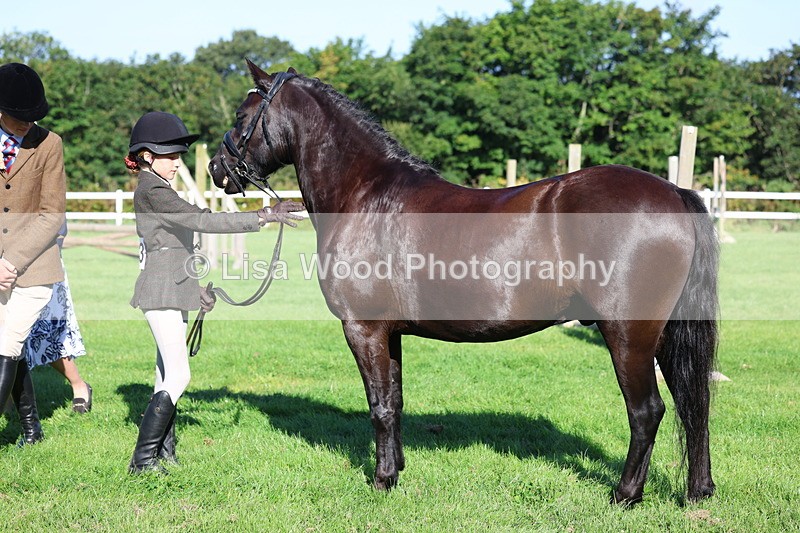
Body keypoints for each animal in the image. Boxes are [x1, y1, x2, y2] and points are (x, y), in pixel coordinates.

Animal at [208, 60, 718, 505]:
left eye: (241, 116)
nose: (216, 168)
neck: (365, 197)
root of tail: (674, 193)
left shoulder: (363, 329)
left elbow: (379, 406)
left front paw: (382, 481)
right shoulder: (390, 334)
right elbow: (395, 400)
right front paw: (397, 470)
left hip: (629, 335)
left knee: (648, 412)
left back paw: (625, 495)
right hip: (664, 336)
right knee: (694, 405)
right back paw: (698, 492)